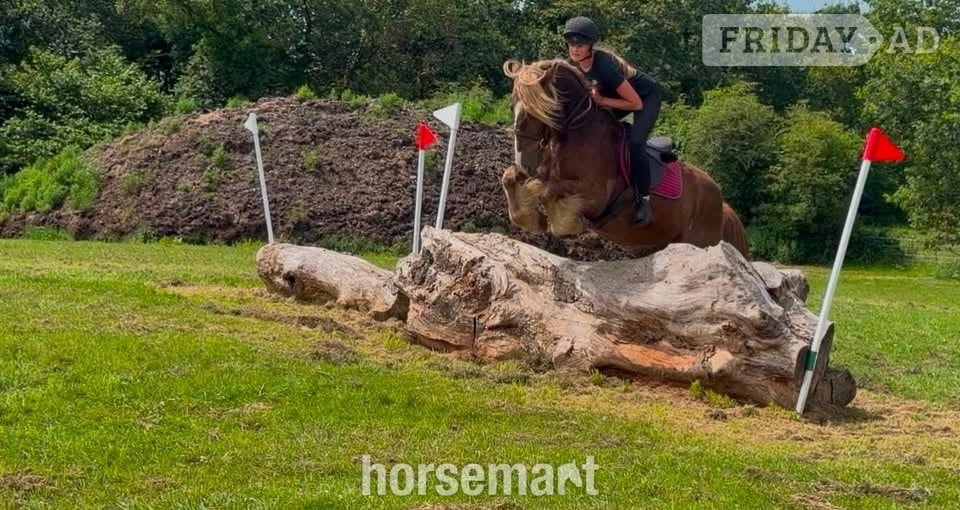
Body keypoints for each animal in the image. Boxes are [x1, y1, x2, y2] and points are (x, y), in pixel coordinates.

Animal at [500, 58, 749, 258]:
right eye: (512, 106)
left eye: (540, 110)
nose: (525, 159)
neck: (578, 132)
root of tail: (722, 205)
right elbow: (510, 177)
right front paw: (530, 218)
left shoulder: (596, 196)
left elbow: (543, 189)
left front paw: (559, 222)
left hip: (700, 242)